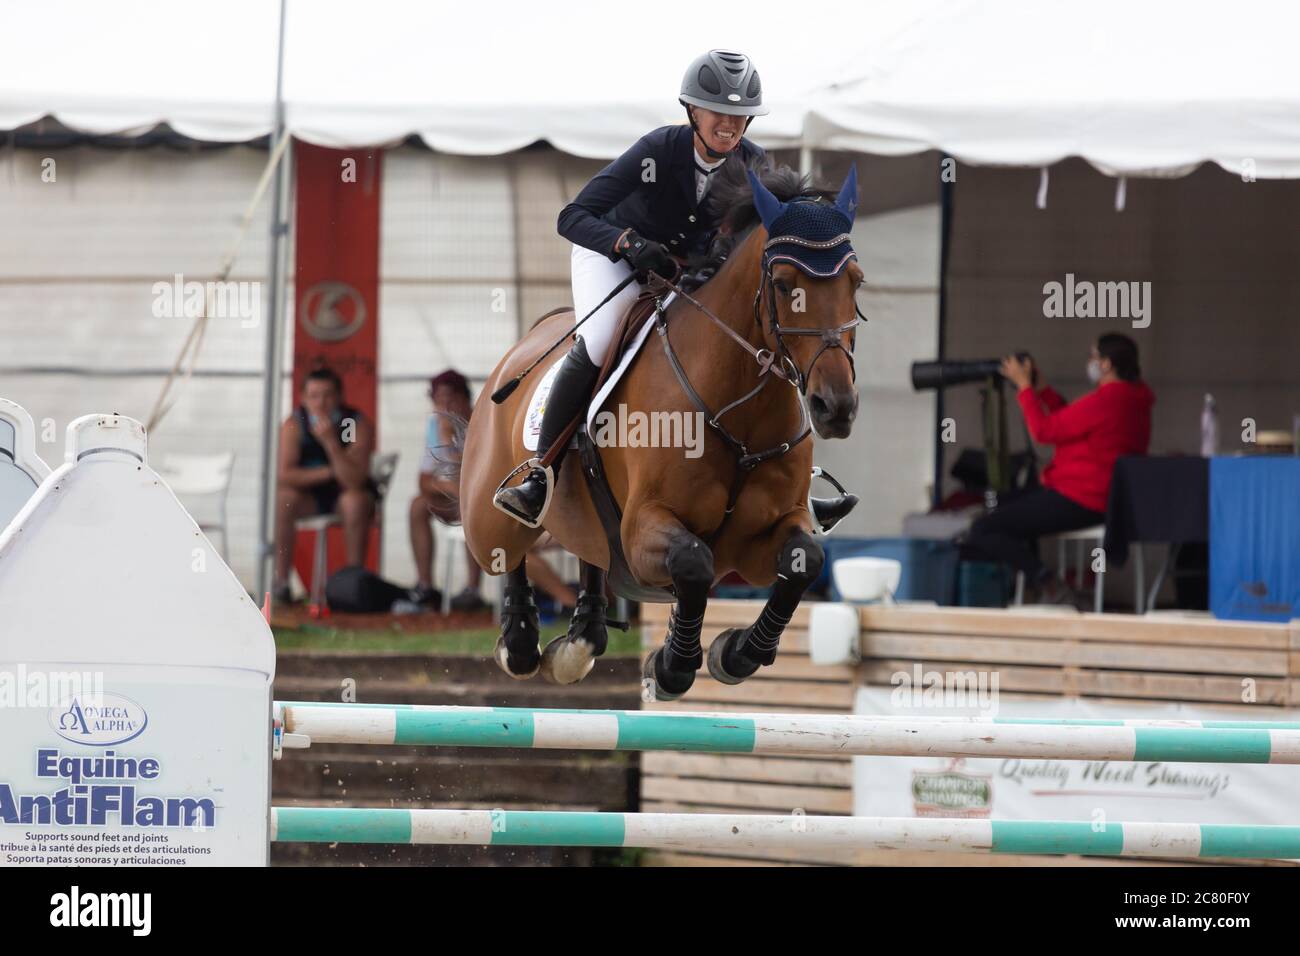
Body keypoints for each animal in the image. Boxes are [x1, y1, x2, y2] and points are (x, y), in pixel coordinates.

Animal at [457, 160, 863, 702]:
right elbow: (693, 563)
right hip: (486, 519)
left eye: (856, 282)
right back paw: (521, 638)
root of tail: (526, 342)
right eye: (781, 283)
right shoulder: (645, 527)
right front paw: (671, 667)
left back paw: (580, 641)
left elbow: (807, 559)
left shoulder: (760, 539)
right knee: (508, 551)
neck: (736, 411)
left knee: (589, 551)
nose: (835, 407)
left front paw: (735, 654)